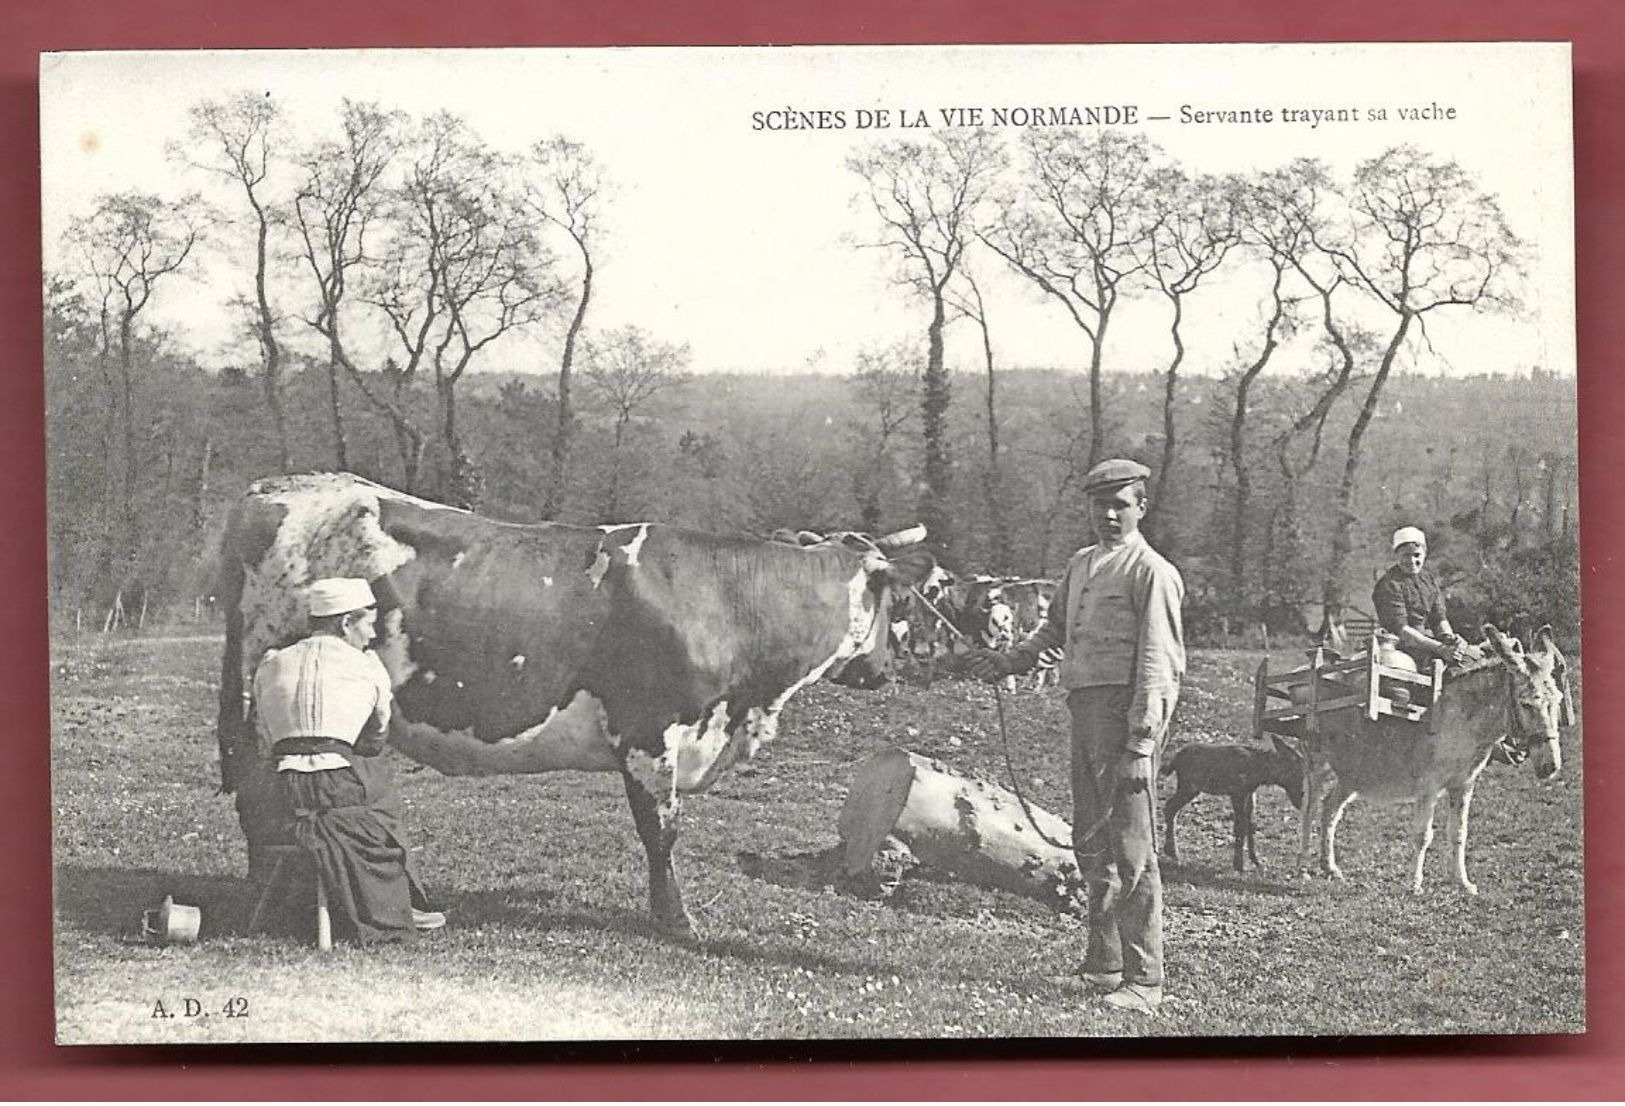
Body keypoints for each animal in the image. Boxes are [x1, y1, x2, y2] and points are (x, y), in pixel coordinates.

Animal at [212, 470, 942, 935]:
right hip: (258, 702)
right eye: (896, 600)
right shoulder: (652, 736)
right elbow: (661, 832)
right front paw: (676, 920)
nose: (886, 669)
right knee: (259, 803)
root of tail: (277, 489)